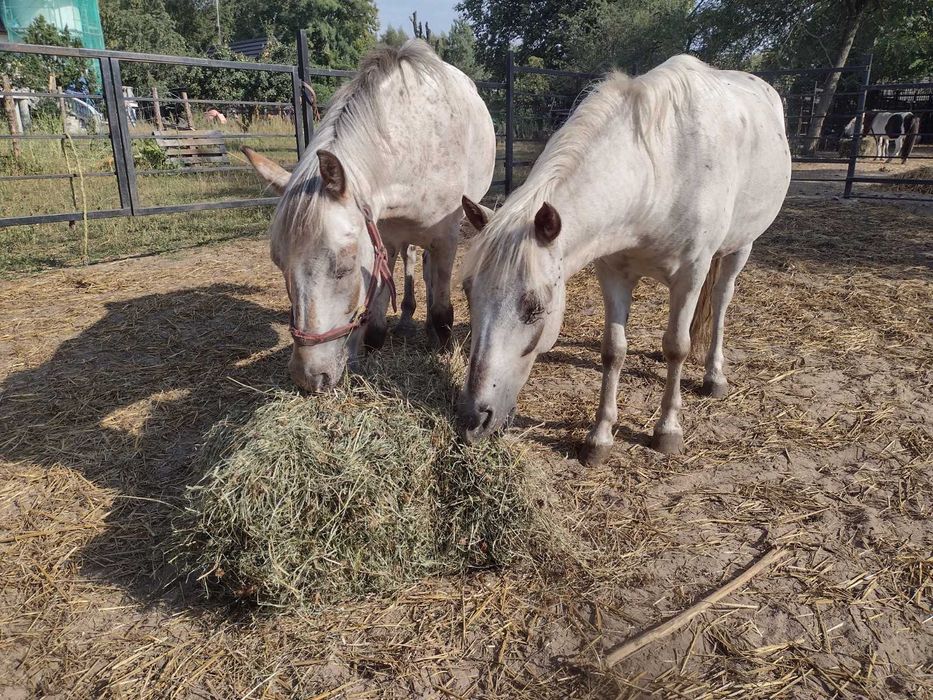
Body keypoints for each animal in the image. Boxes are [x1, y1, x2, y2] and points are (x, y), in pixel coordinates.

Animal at [242, 41, 496, 394]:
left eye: (344, 266)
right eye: (278, 263)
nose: (308, 377)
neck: (413, 146)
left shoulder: (446, 237)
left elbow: (442, 307)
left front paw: (442, 345)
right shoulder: (382, 239)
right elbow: (377, 309)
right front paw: (373, 347)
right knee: (413, 260)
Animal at [458, 57, 788, 462]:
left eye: (534, 308)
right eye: (468, 294)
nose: (474, 417)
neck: (659, 173)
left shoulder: (691, 273)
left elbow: (678, 347)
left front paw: (667, 430)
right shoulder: (613, 272)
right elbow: (613, 351)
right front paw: (599, 437)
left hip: (740, 247)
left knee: (722, 300)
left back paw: (714, 376)